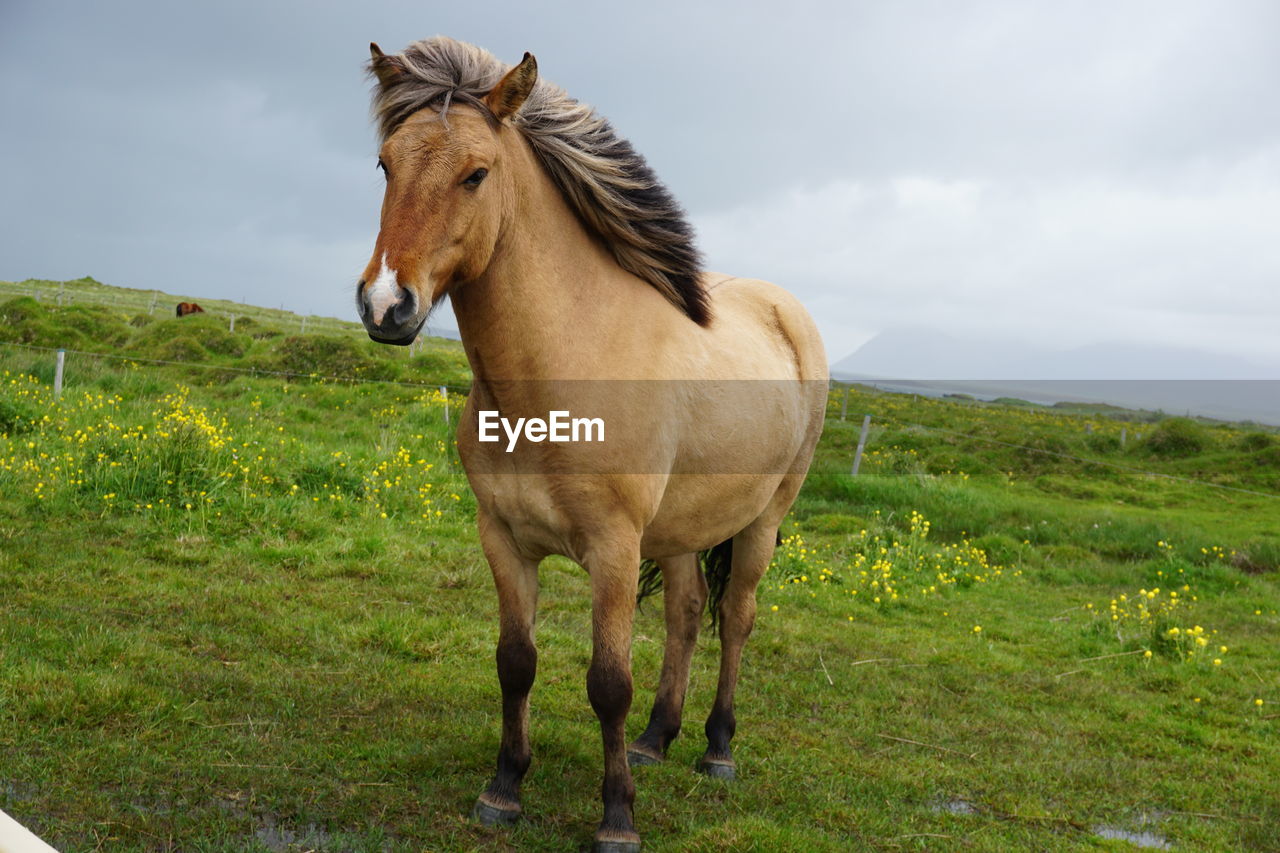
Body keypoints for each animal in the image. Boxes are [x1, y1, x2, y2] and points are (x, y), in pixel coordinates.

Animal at [353, 36, 829, 845]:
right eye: (386, 164)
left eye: (476, 174)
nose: (387, 305)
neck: (559, 370)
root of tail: (785, 309)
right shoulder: (503, 537)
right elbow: (516, 662)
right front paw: (505, 788)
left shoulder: (613, 547)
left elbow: (608, 683)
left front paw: (616, 818)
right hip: (679, 532)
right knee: (687, 613)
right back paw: (657, 738)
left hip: (764, 520)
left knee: (736, 618)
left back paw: (717, 748)